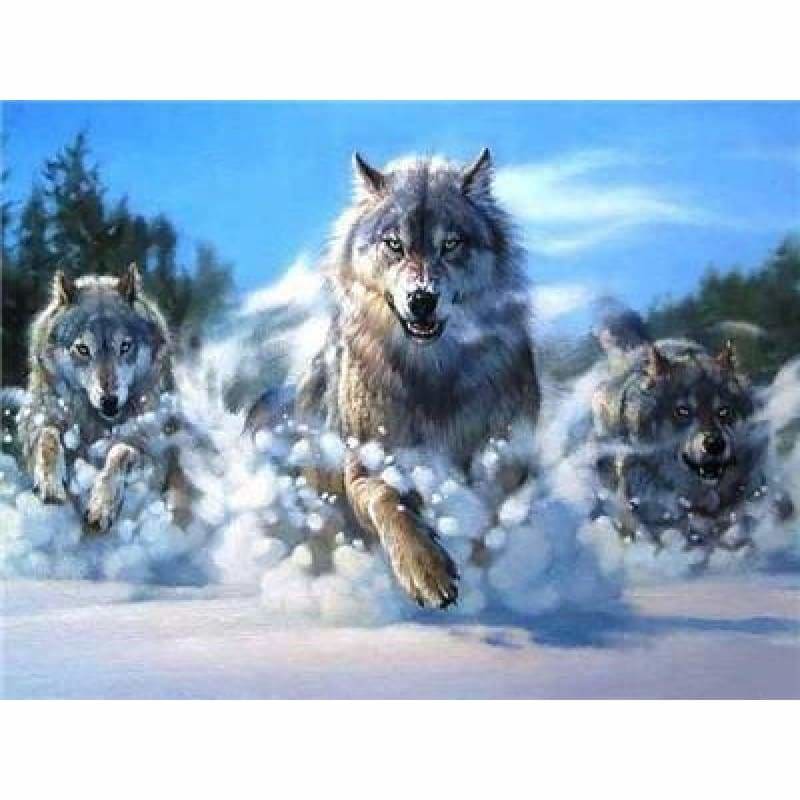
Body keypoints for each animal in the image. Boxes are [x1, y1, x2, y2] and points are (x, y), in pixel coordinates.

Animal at [16, 263, 182, 533]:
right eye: (83, 349)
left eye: (125, 346)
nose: (109, 401)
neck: (96, 424)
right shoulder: (39, 420)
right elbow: (47, 437)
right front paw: (50, 484)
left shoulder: (147, 445)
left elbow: (119, 453)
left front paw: (101, 506)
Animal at [248, 149, 541, 608]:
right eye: (394, 245)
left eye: (450, 244)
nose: (421, 299)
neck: (431, 376)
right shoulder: (366, 465)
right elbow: (389, 500)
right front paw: (426, 570)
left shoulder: (508, 458)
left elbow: (491, 515)